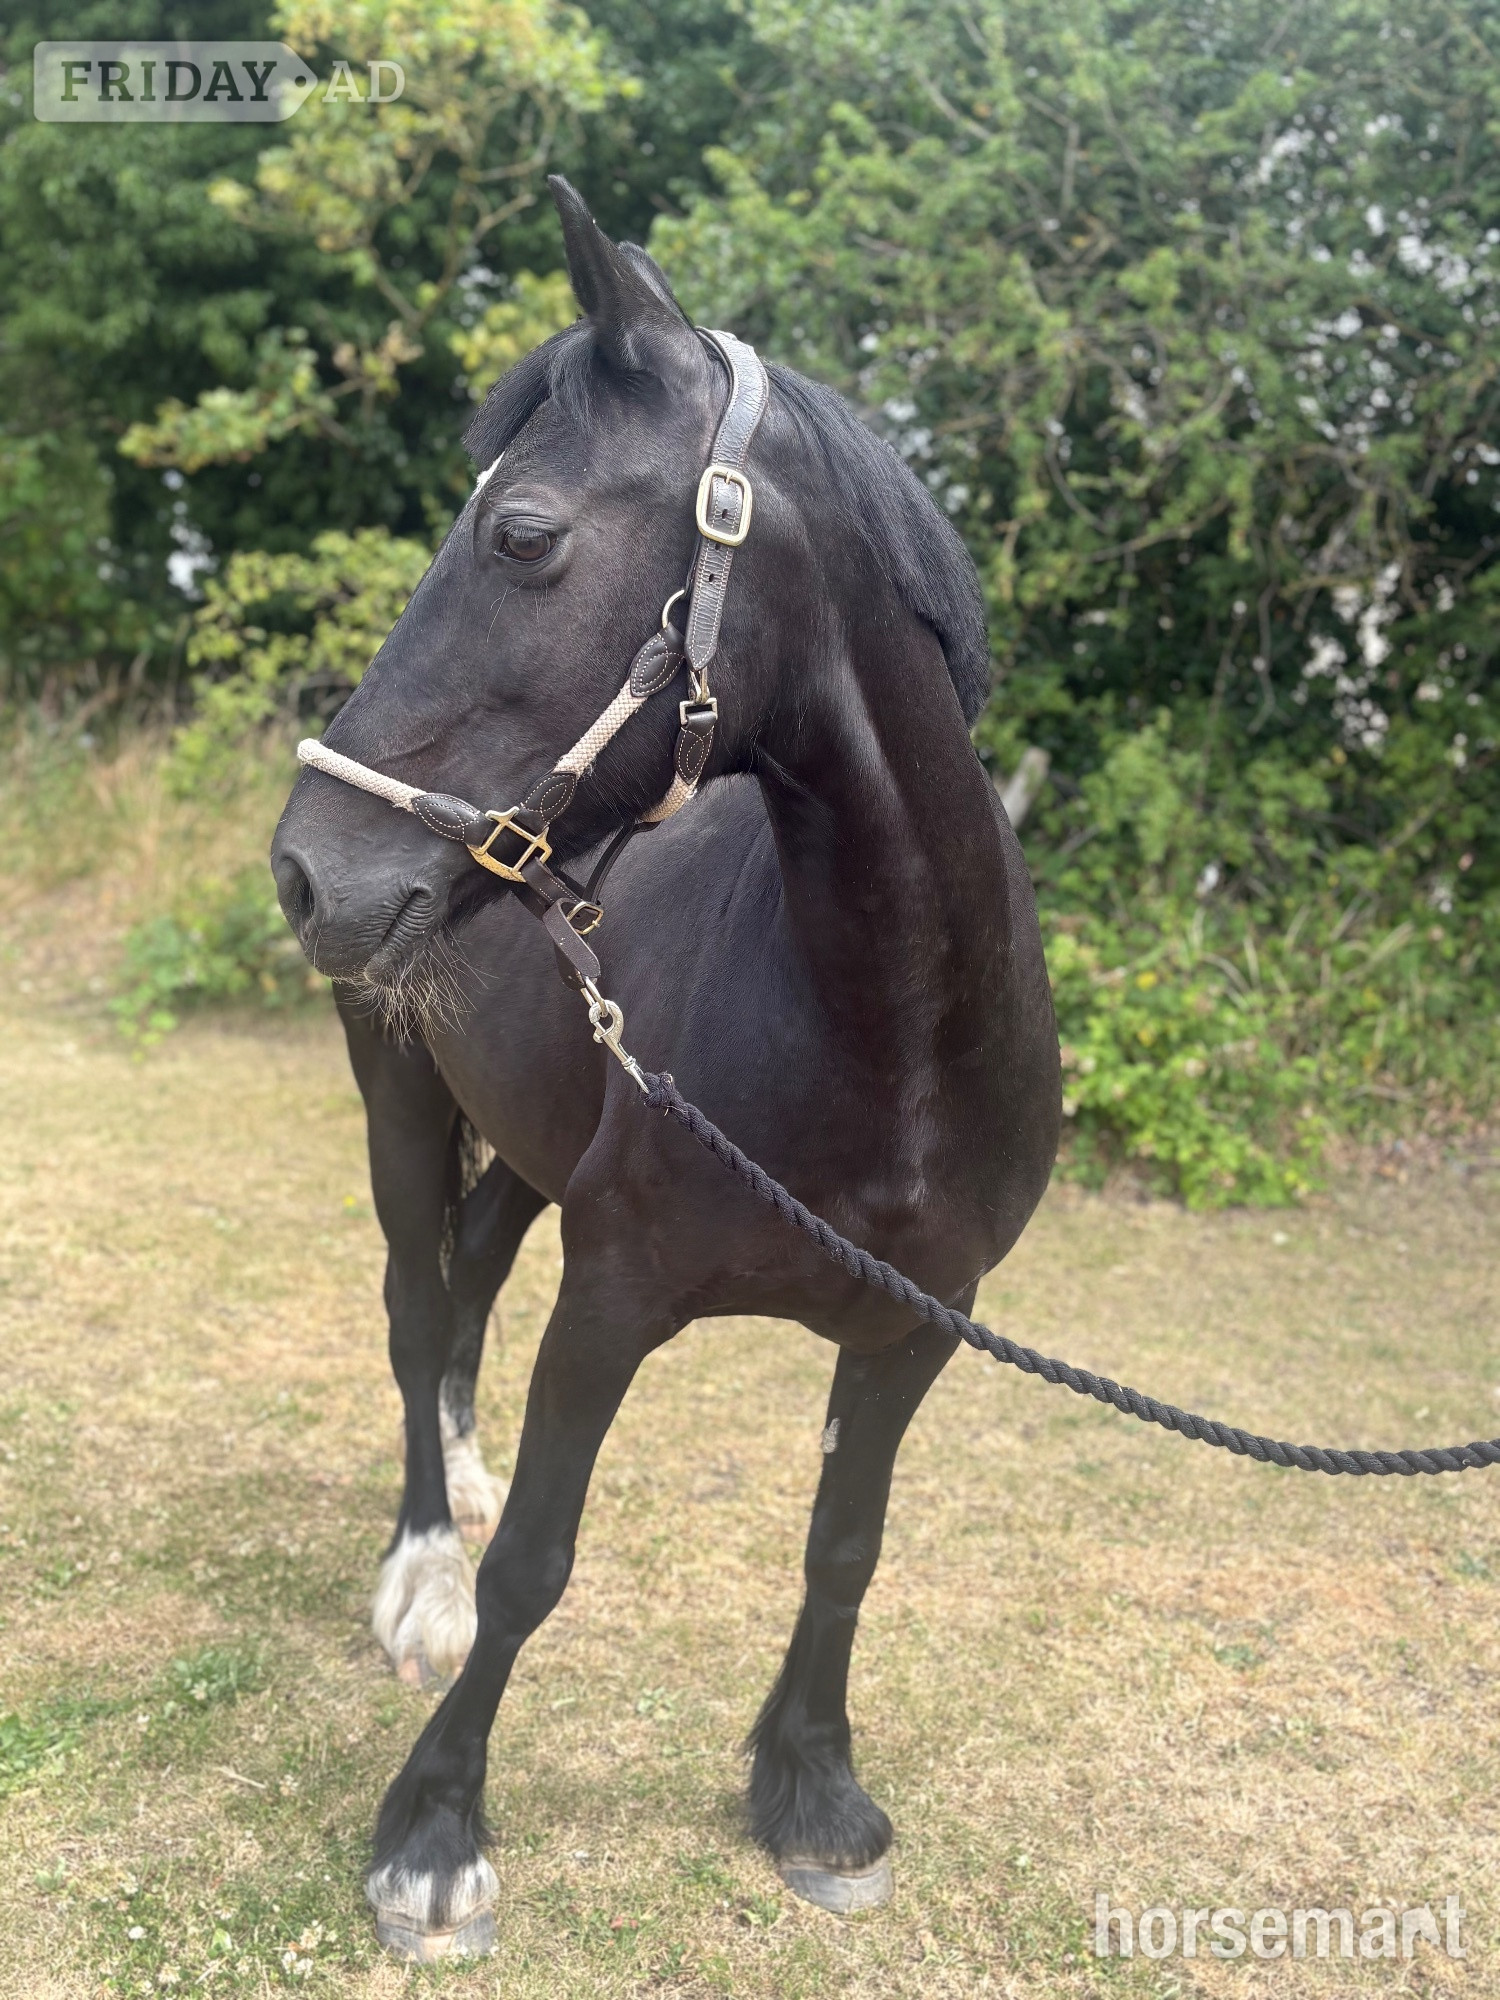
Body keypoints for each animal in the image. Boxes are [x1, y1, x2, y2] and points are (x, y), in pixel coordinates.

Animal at [270, 175, 1061, 1959]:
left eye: (523, 534)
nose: (306, 867)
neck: (884, 1042)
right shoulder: (616, 1289)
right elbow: (536, 1566)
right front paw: (433, 1836)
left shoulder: (921, 1326)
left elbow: (848, 1546)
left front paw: (812, 1793)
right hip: (402, 1102)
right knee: (413, 1303)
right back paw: (420, 1562)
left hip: (522, 1142)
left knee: (463, 1294)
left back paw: (457, 1479)